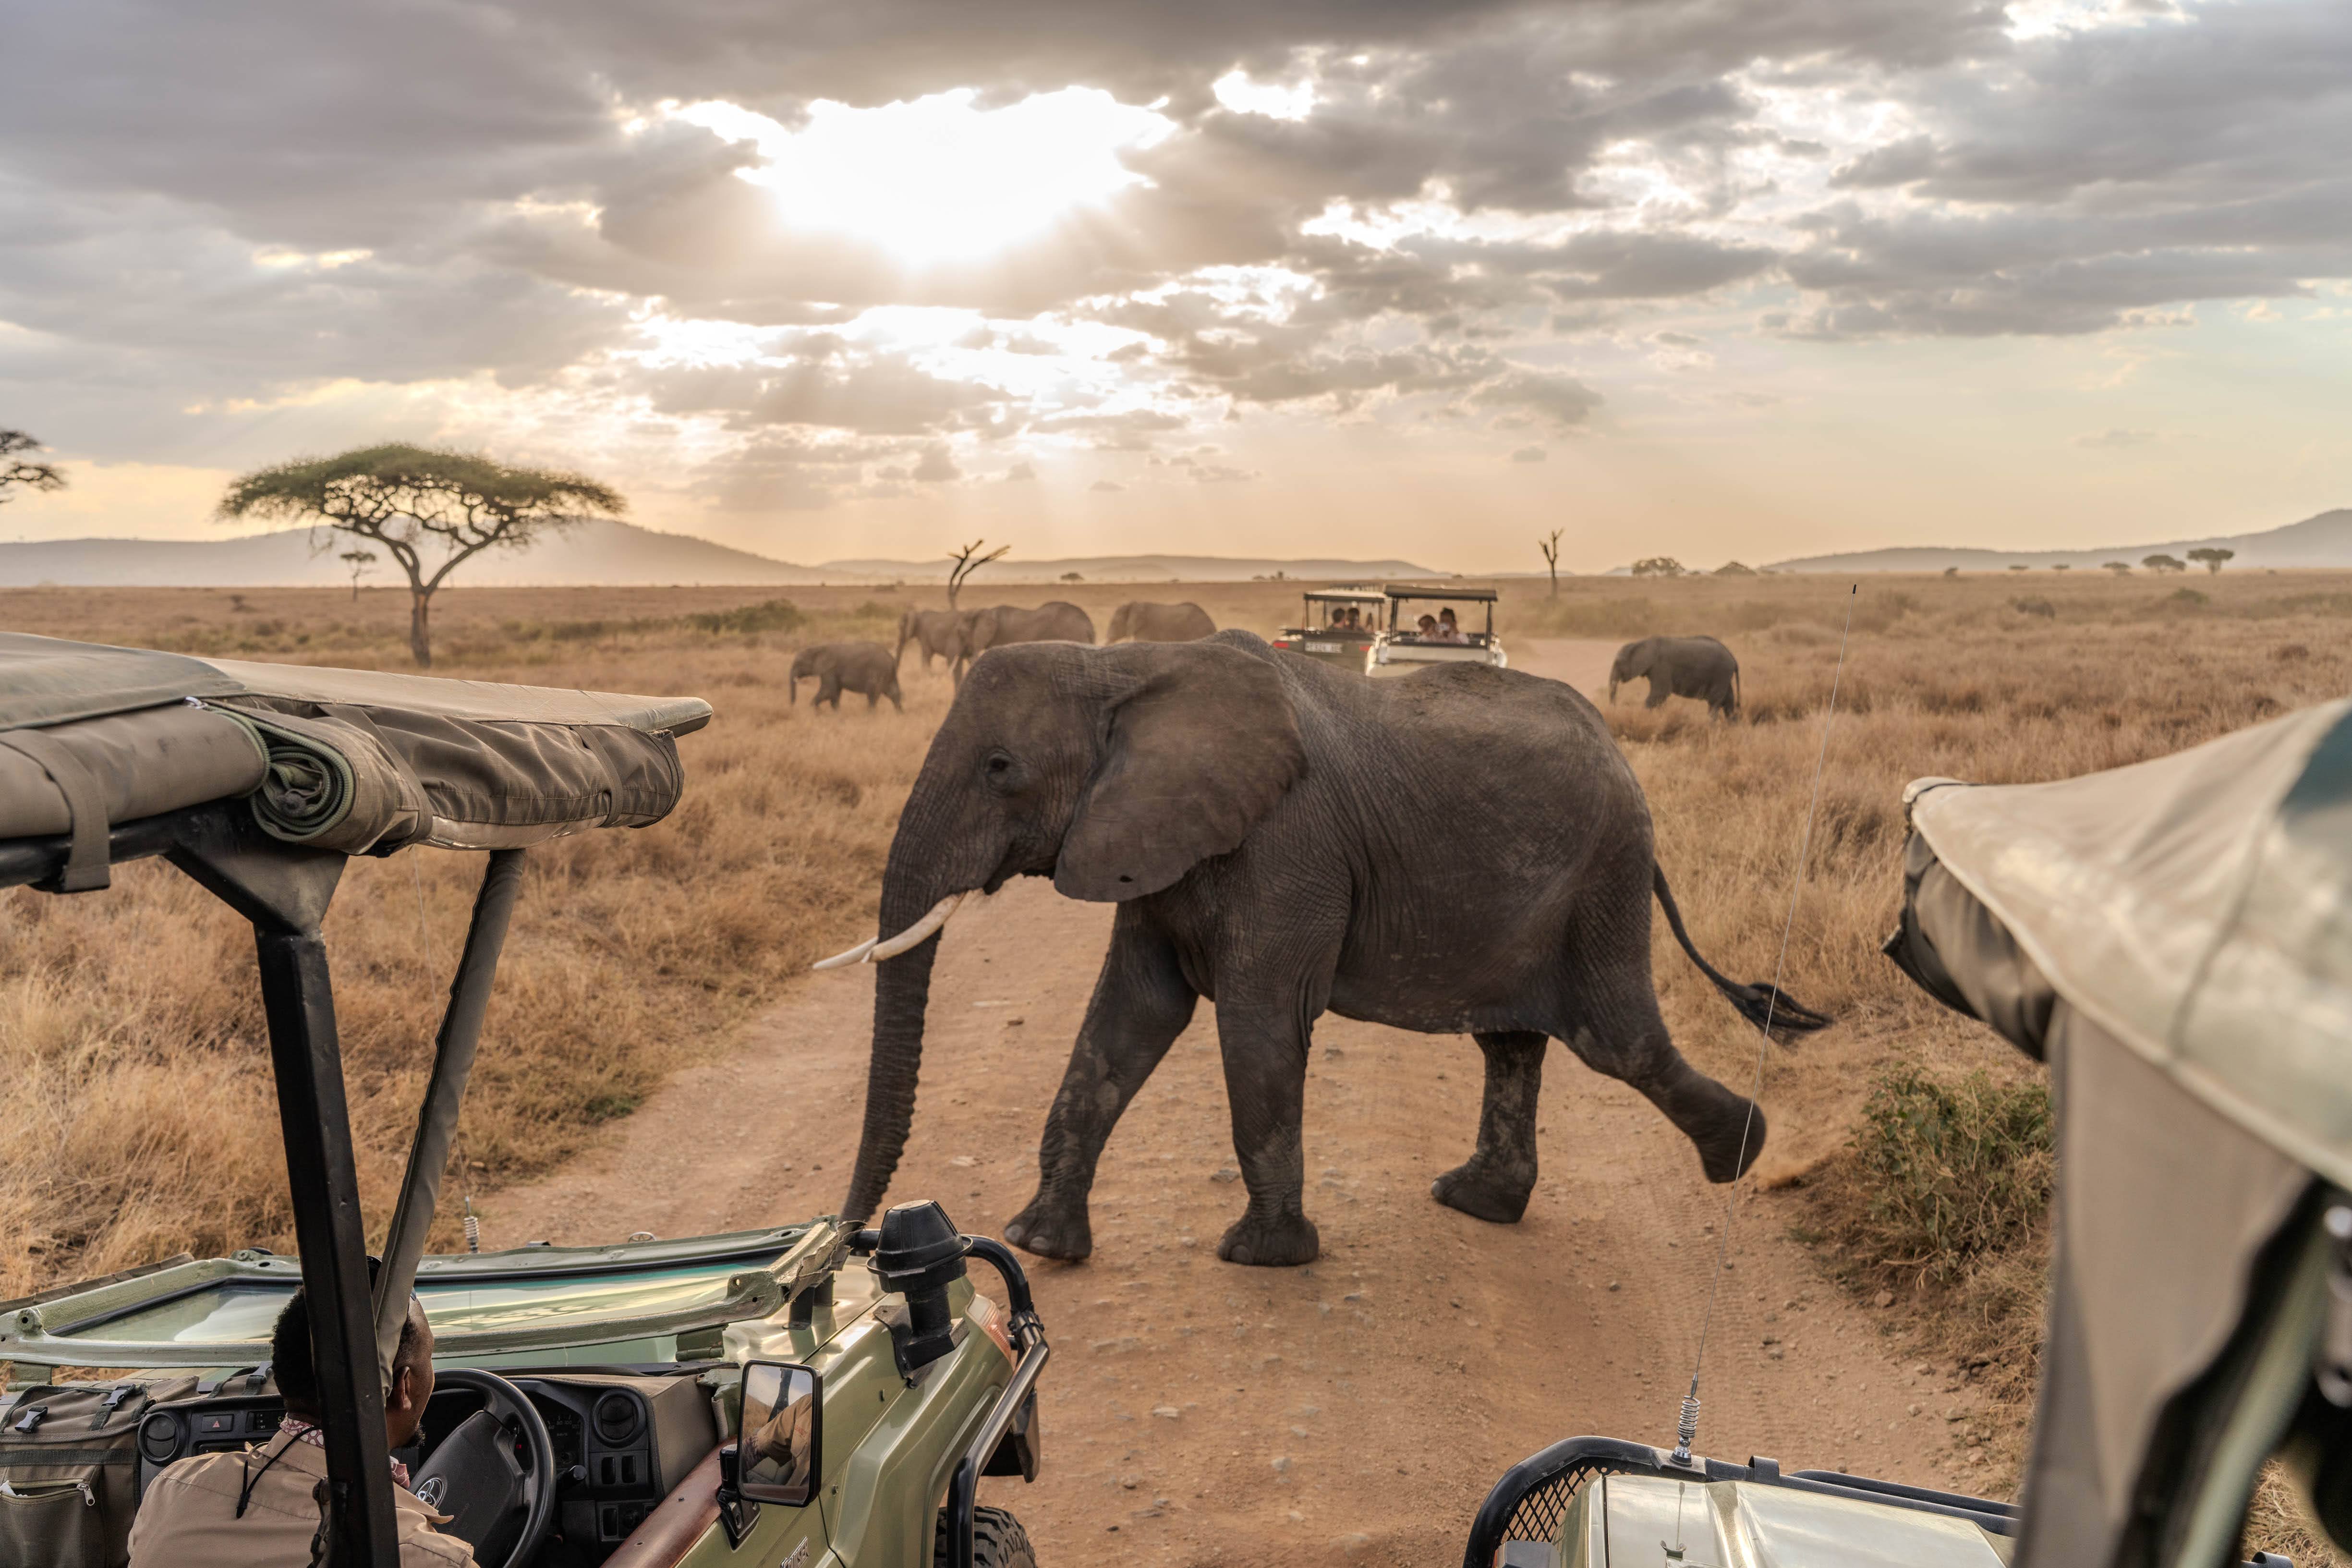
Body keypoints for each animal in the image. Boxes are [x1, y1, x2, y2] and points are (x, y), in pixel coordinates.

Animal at [790, 641, 904, 712]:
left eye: (799, 663)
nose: (792, 705)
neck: (818, 648)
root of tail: (891, 658)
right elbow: (835, 693)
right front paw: (835, 714)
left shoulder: (829, 670)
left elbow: (828, 691)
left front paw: (816, 712)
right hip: (888, 674)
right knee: (894, 693)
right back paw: (900, 714)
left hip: (878, 671)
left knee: (873, 694)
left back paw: (870, 715)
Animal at [1608, 636, 1740, 719]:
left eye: (1618, 662)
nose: (1615, 710)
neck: (1641, 643)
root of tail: (1733, 658)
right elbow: (1660, 697)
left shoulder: (1661, 666)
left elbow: (1660, 694)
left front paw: (1644, 717)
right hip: (1724, 677)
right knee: (1728, 702)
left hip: (1721, 674)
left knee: (1715, 702)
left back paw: (1710, 726)